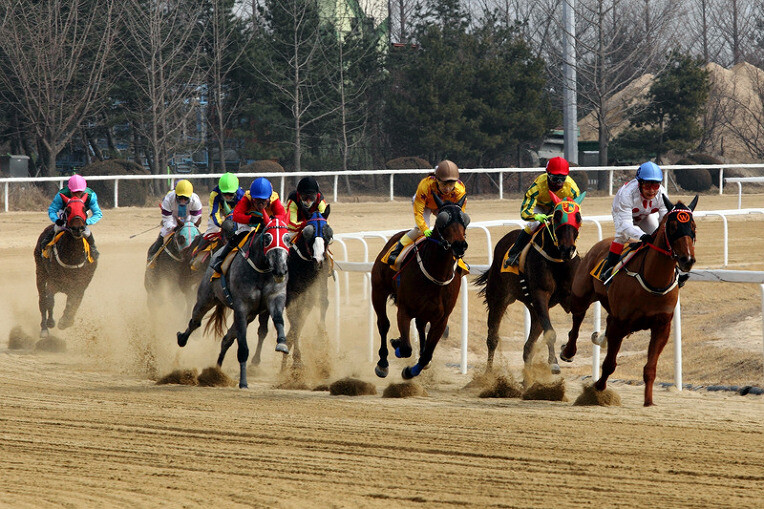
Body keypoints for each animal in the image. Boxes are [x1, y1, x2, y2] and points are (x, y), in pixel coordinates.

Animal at [33, 194, 98, 338]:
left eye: (84, 208)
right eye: (68, 209)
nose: (78, 228)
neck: (72, 257)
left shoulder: (80, 286)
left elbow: (73, 303)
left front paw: (66, 321)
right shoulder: (54, 282)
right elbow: (49, 300)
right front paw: (51, 322)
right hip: (40, 273)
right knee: (42, 300)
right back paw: (44, 328)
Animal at [176, 216, 290, 386]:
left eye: (287, 238)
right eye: (268, 238)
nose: (281, 270)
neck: (261, 271)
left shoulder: (274, 297)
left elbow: (278, 319)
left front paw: (282, 343)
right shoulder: (241, 307)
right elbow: (242, 347)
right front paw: (243, 382)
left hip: (249, 316)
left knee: (226, 339)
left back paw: (216, 371)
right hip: (206, 298)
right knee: (195, 321)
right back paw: (182, 339)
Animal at [368, 196, 468, 380]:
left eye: (465, 220)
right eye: (443, 221)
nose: (459, 245)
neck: (436, 273)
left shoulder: (441, 319)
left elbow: (427, 354)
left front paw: (410, 371)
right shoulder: (404, 310)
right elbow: (406, 348)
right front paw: (397, 345)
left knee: (421, 326)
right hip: (378, 291)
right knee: (383, 323)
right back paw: (383, 363)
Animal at [474, 190, 588, 374]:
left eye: (578, 217)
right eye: (557, 216)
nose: (567, 249)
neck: (558, 261)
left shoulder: (569, 296)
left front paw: (567, 351)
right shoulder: (540, 294)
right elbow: (550, 332)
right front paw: (553, 362)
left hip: (533, 310)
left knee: (528, 347)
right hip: (499, 298)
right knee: (492, 338)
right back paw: (488, 375)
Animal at [556, 194, 700, 404]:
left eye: (693, 227)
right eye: (673, 227)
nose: (687, 259)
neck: (652, 280)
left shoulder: (661, 326)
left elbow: (650, 368)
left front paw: (649, 402)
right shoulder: (620, 323)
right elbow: (609, 364)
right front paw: (597, 389)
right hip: (581, 294)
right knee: (577, 319)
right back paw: (568, 351)